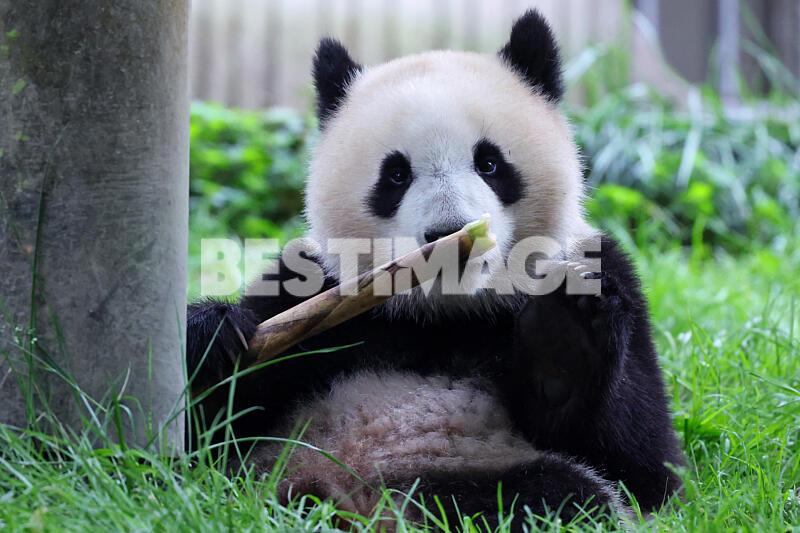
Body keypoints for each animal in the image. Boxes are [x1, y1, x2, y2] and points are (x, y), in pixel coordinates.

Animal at [188, 9, 685, 527]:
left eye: (489, 163)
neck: (448, 311)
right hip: (271, 467)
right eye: (396, 174)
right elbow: (204, 435)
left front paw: (567, 334)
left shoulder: (605, 271)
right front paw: (211, 335)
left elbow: (644, 465)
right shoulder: (311, 288)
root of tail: (356, 500)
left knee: (562, 496)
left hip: (460, 468)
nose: (449, 234)